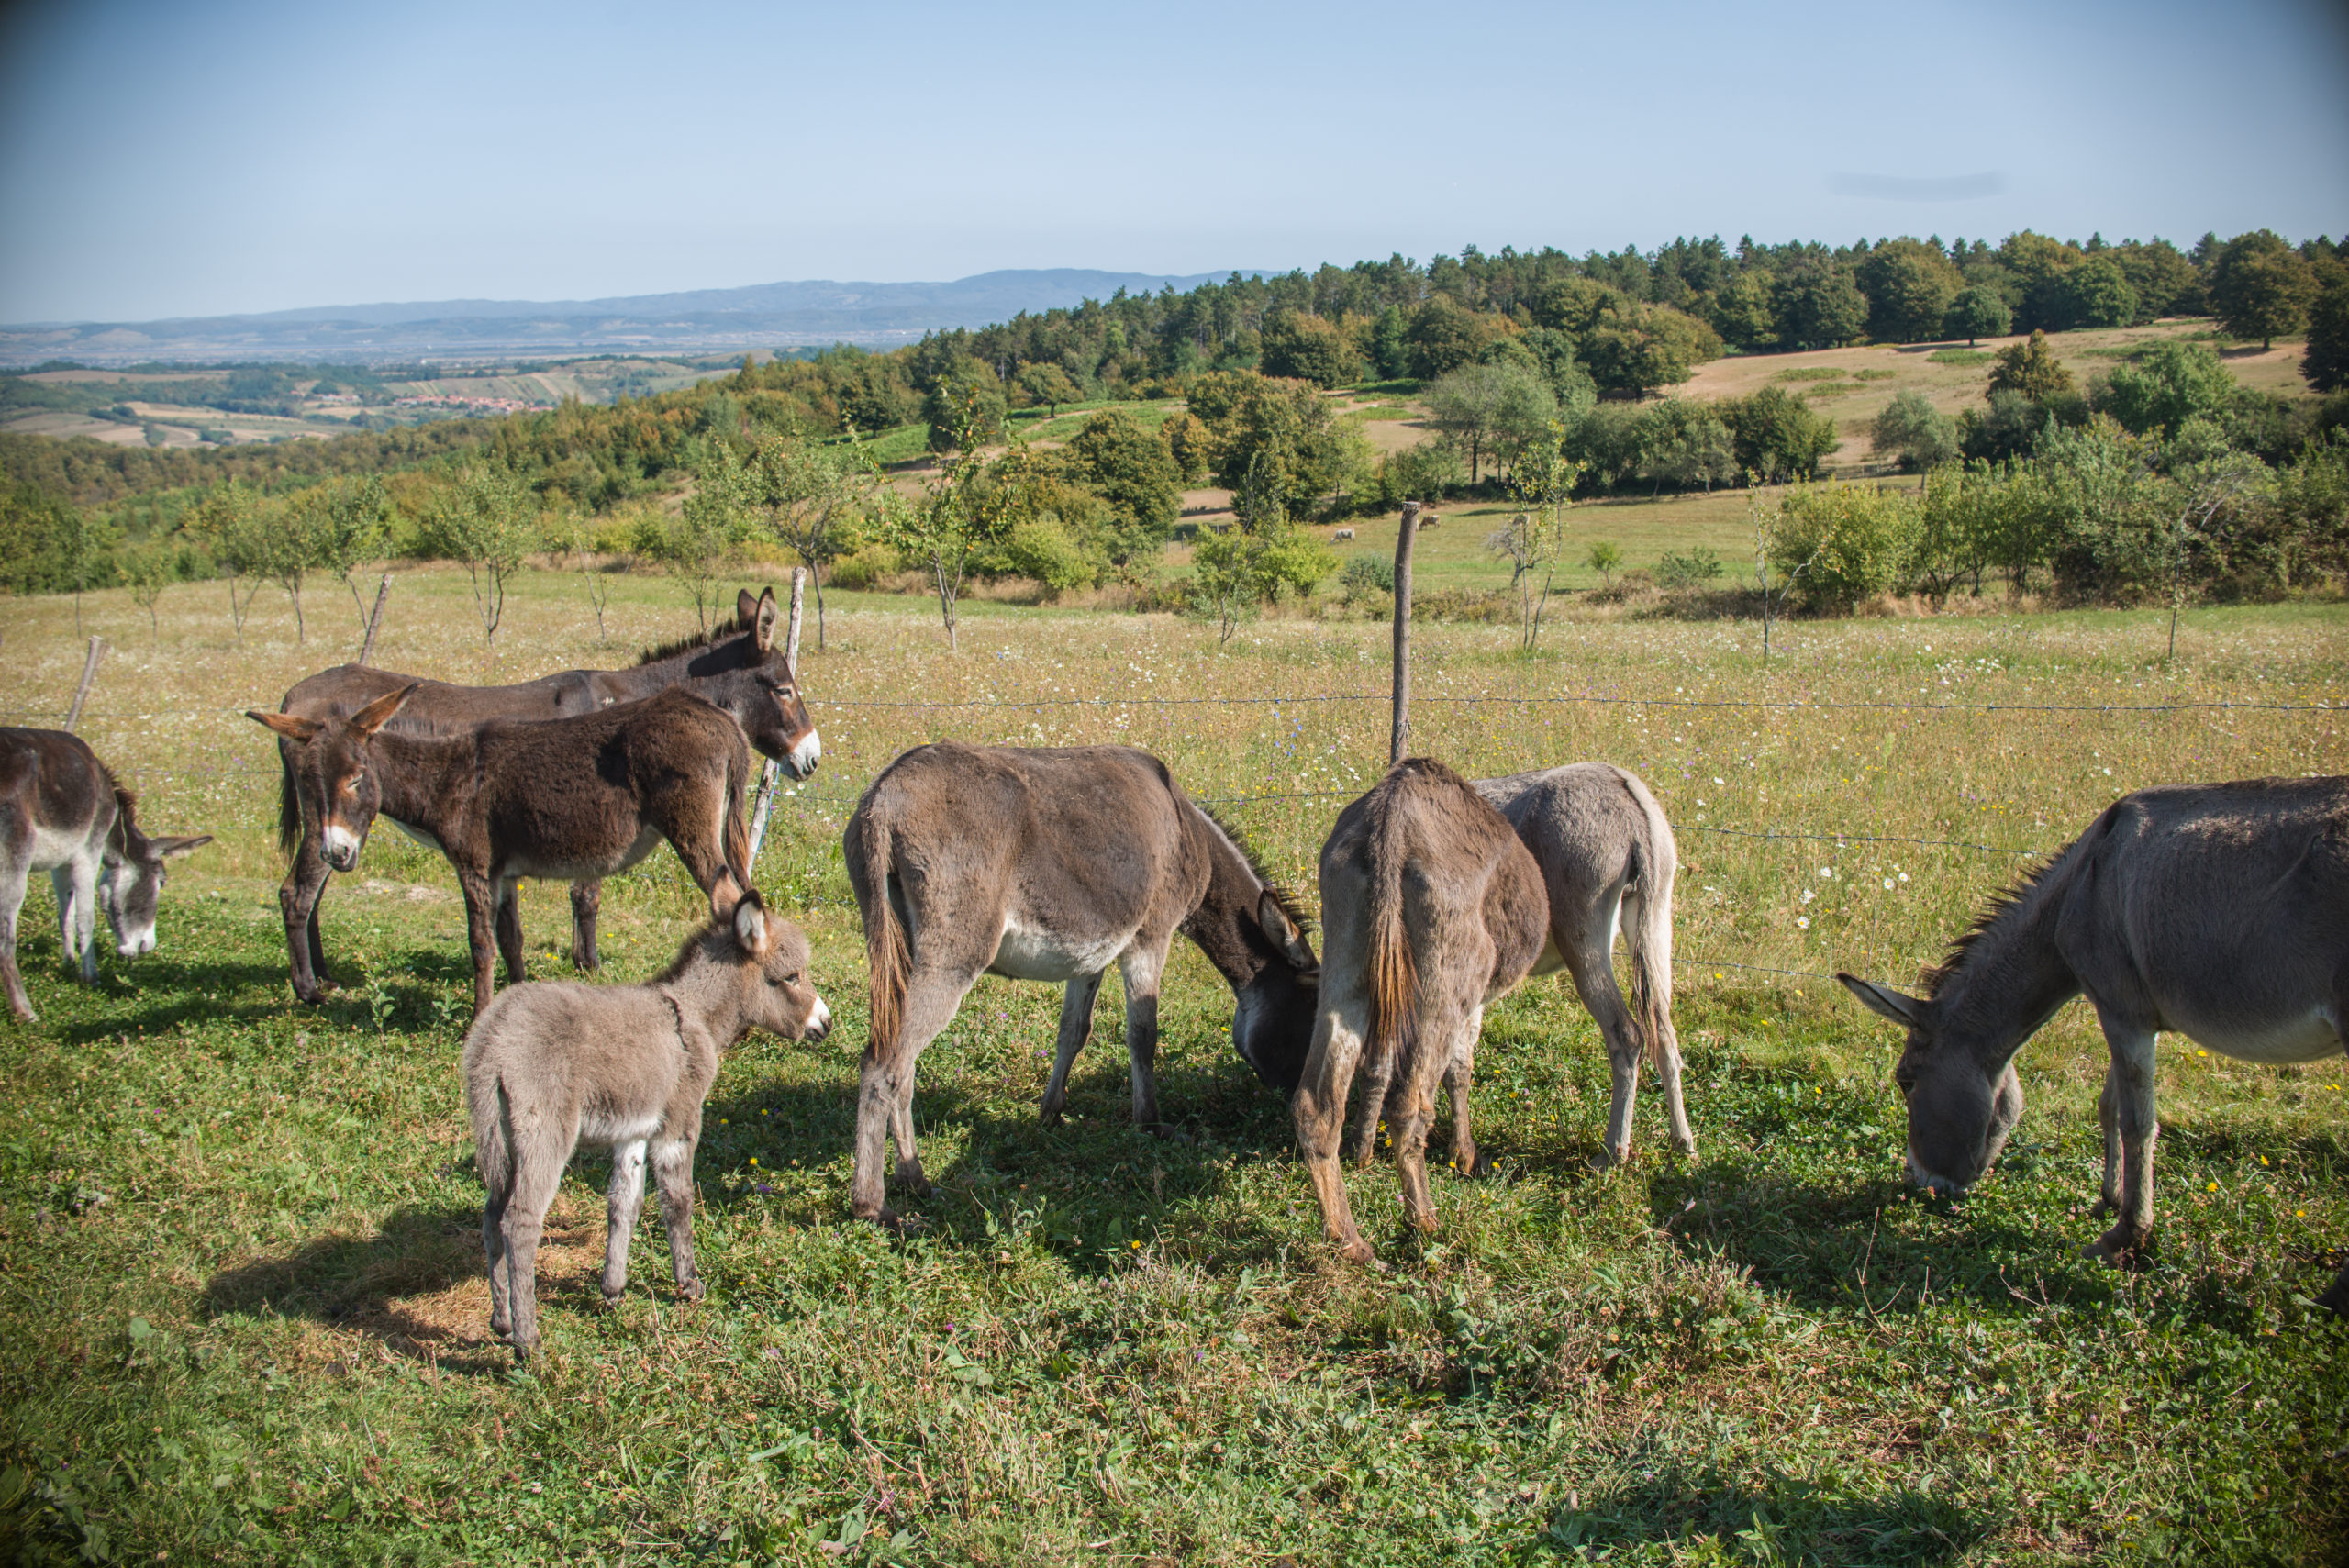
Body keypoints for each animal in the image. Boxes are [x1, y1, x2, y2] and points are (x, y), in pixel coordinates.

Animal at [458, 892, 827, 1361]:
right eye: (791, 977)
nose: (826, 1023)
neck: (694, 1016)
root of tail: (492, 1040)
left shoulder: (633, 1130)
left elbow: (624, 1203)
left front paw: (613, 1288)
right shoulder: (679, 1121)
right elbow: (678, 1200)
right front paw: (688, 1284)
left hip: (498, 1135)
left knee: (491, 1216)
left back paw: (502, 1321)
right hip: (545, 1134)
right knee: (519, 1222)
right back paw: (528, 1341)